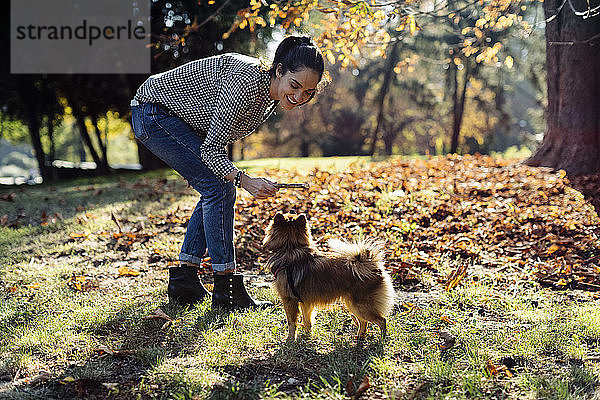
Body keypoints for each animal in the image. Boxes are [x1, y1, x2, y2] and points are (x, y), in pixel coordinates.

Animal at [264, 212, 396, 340]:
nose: (292, 210)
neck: (290, 248)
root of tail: (373, 266)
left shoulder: (289, 300)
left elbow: (292, 323)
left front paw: (291, 339)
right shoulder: (305, 302)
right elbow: (307, 321)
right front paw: (307, 336)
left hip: (360, 305)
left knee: (381, 320)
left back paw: (381, 339)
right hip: (352, 304)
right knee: (363, 322)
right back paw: (360, 337)